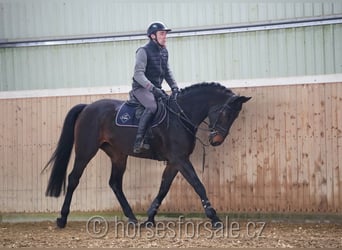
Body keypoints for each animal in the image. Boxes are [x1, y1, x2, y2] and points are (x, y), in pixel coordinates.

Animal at [43, 82, 251, 229]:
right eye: (226, 112)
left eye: (234, 116)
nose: (216, 140)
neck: (179, 116)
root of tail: (87, 107)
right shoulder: (180, 159)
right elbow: (198, 185)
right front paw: (214, 218)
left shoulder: (174, 161)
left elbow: (164, 187)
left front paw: (150, 218)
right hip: (86, 151)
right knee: (73, 179)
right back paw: (62, 218)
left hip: (118, 155)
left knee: (115, 183)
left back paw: (133, 218)